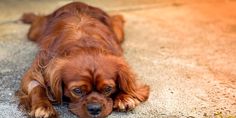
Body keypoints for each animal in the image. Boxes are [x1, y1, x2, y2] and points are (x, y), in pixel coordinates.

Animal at [17, 1, 149, 118]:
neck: (84, 44)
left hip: (119, 33)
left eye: (108, 89)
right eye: (77, 91)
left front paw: (124, 97)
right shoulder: (38, 66)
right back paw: (28, 16)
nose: (95, 108)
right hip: (34, 32)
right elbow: (36, 85)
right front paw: (42, 106)